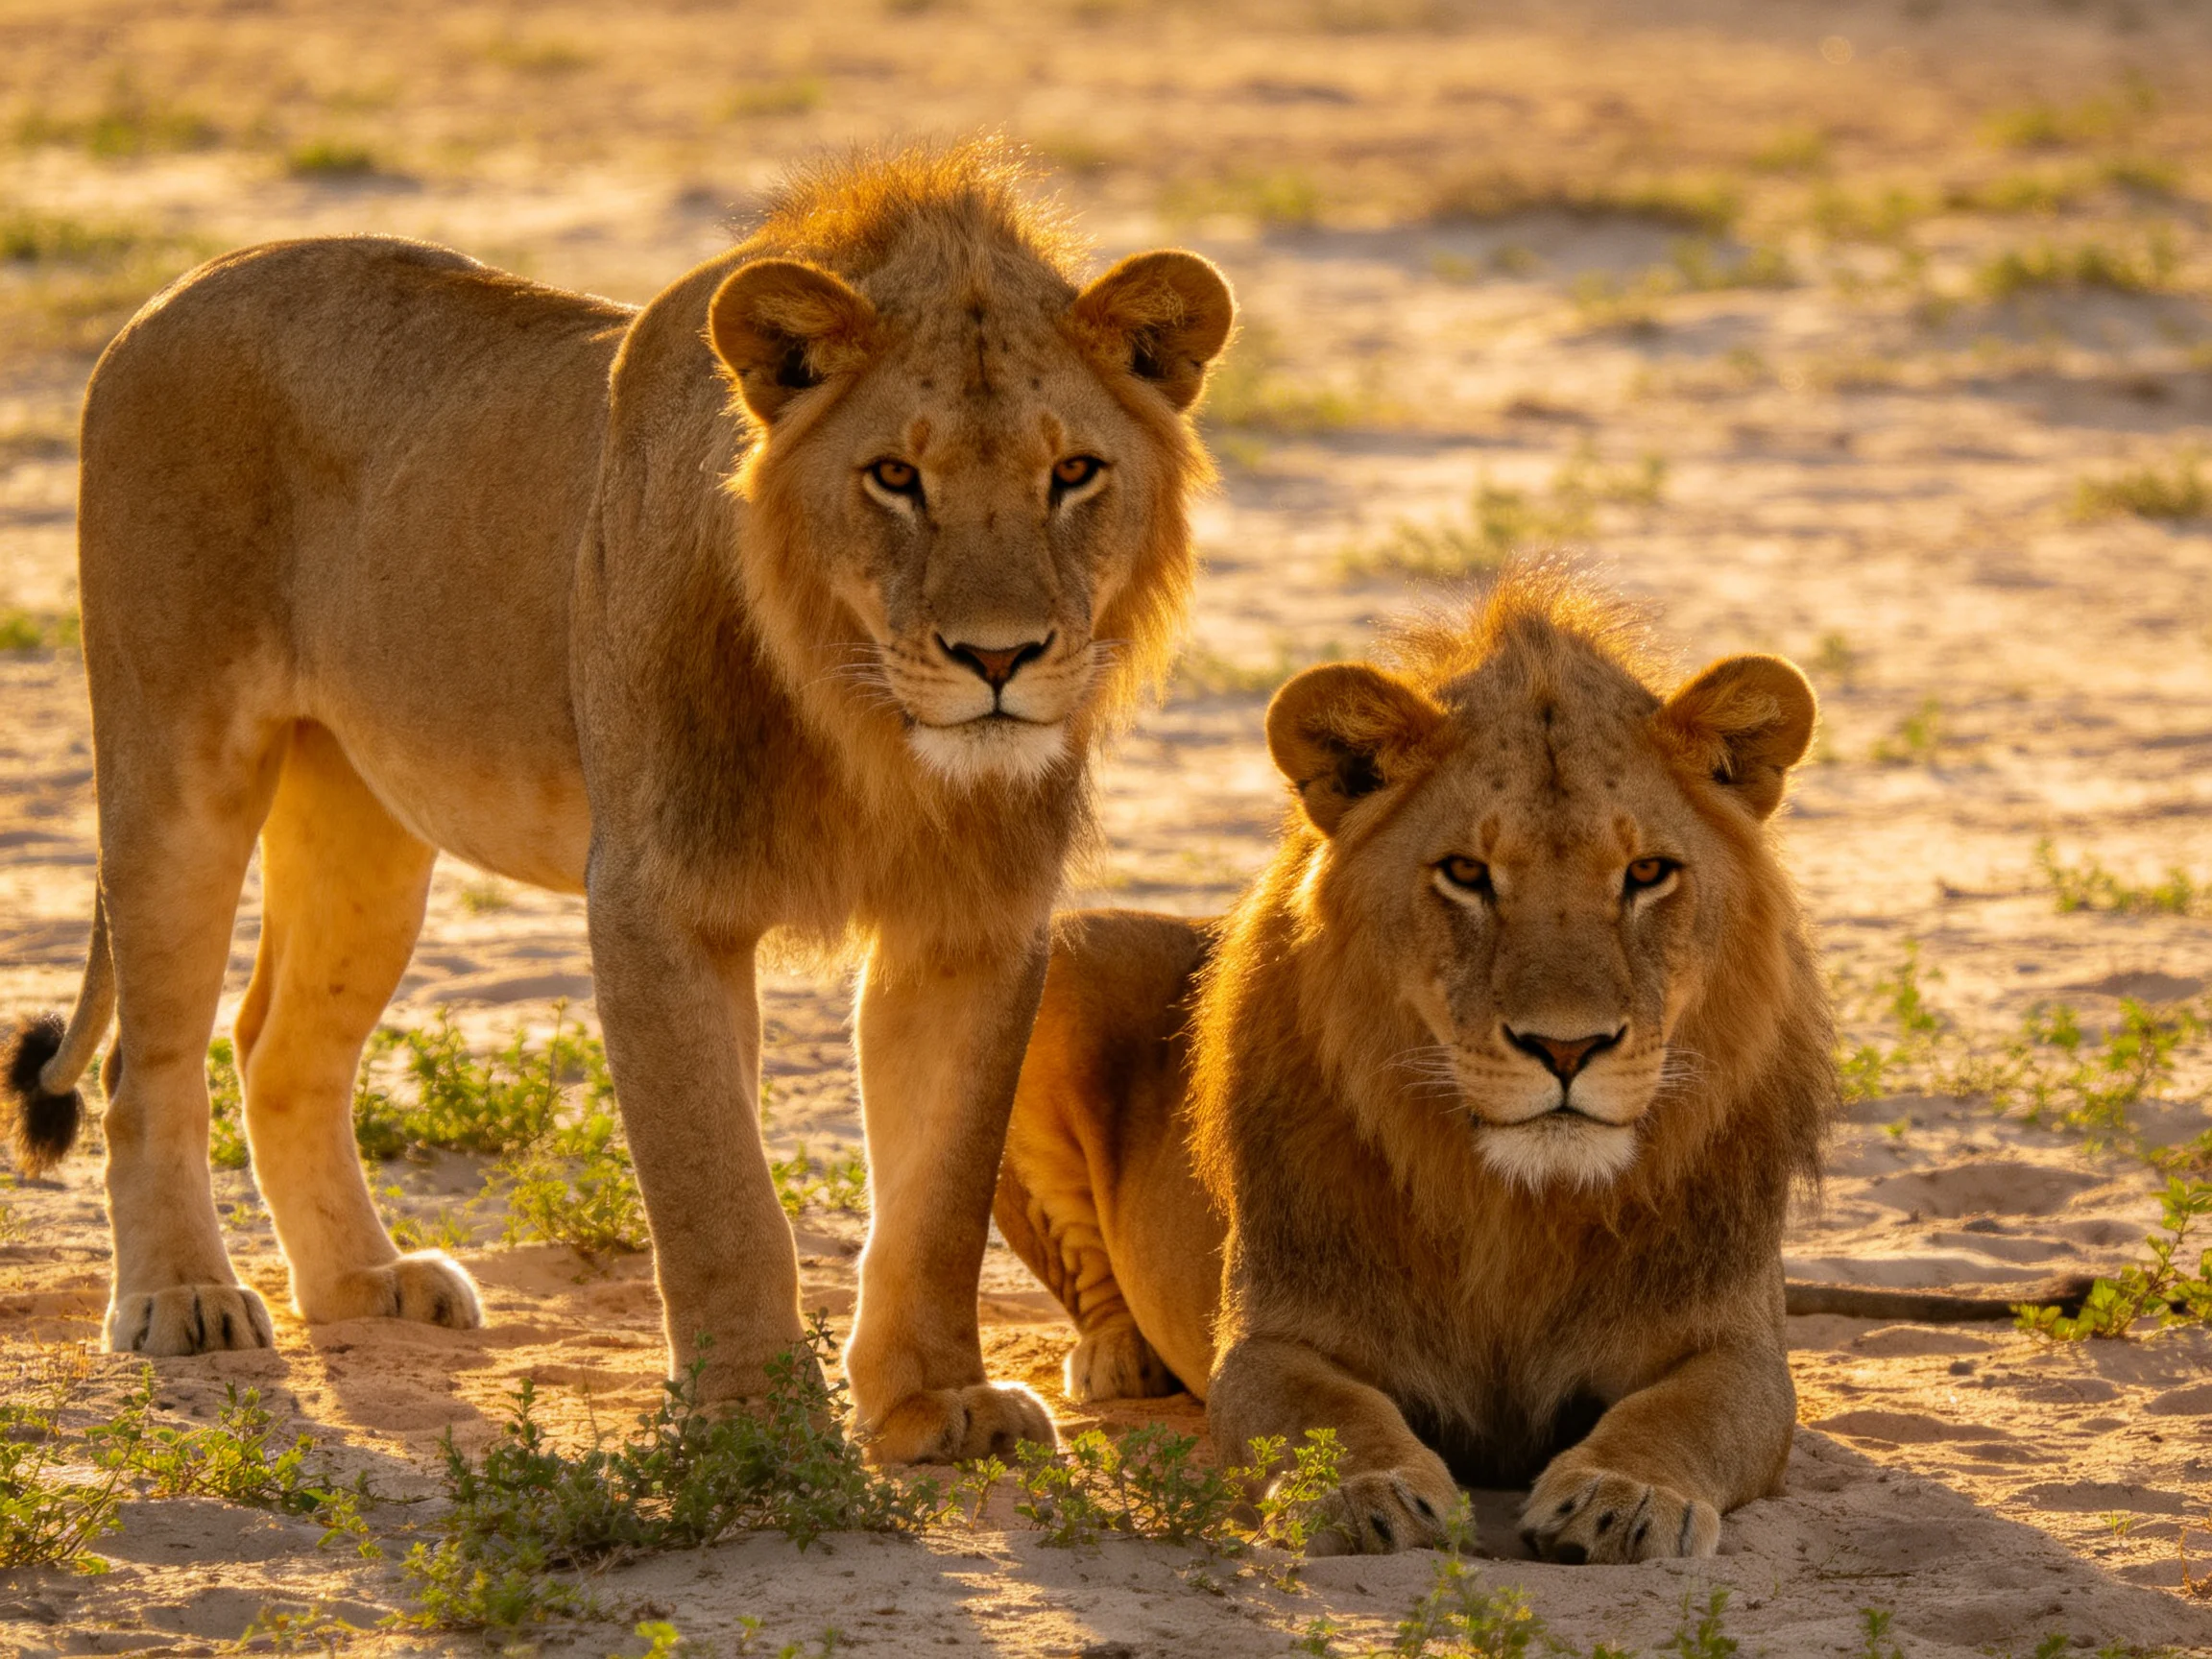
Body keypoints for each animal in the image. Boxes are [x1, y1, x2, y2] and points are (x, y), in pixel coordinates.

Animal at [2, 139, 1233, 1465]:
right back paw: (185, 1295)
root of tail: (167, 299)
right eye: (895, 477)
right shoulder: (656, 898)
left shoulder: (975, 923)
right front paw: (750, 1420)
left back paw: (363, 1285)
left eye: (1075, 473)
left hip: (365, 820)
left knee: (278, 1044)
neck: (868, 732)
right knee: (150, 1065)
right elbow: (717, 1187)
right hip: (177, 760)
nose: (997, 657)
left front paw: (934, 1404)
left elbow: (940, 1191)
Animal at [996, 567, 1841, 1556]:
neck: (1520, 1208)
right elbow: (1325, 1415)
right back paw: (1117, 1356)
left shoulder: (1736, 1346)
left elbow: (1683, 1414)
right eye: (1467, 873)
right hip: (1060, 962)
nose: (1566, 1046)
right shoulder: (1273, 1337)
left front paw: (1622, 1497)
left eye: (1646, 874)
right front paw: (1369, 1494)